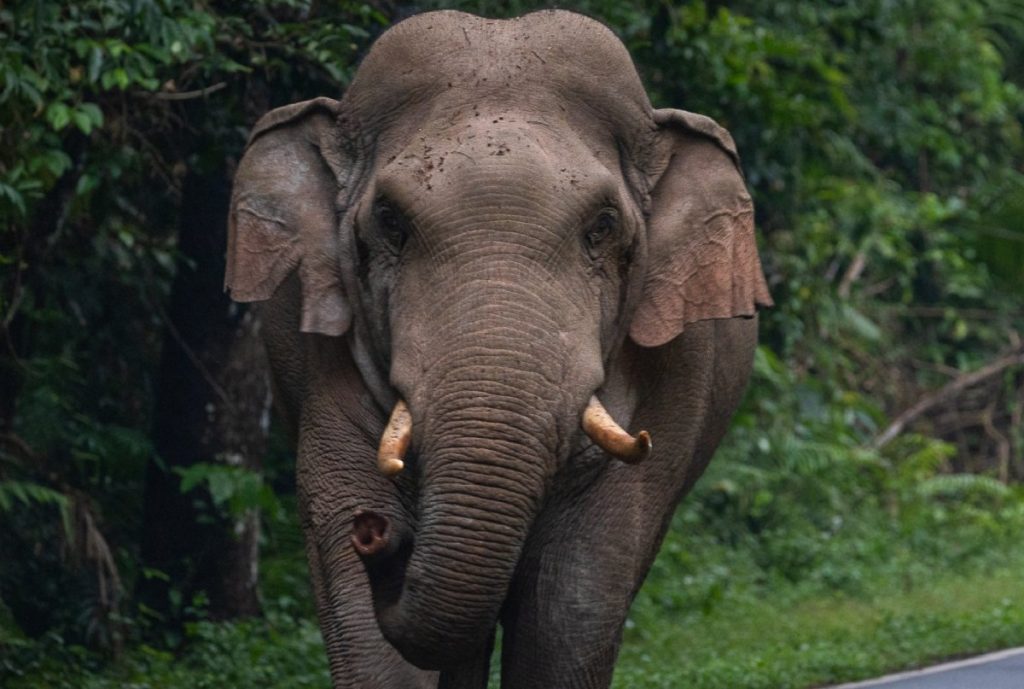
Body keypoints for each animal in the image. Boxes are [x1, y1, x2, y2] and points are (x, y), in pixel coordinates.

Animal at [225, 9, 771, 689]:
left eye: (602, 227)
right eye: (390, 222)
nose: (377, 535)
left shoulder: (672, 377)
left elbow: (574, 598)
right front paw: (364, 522)